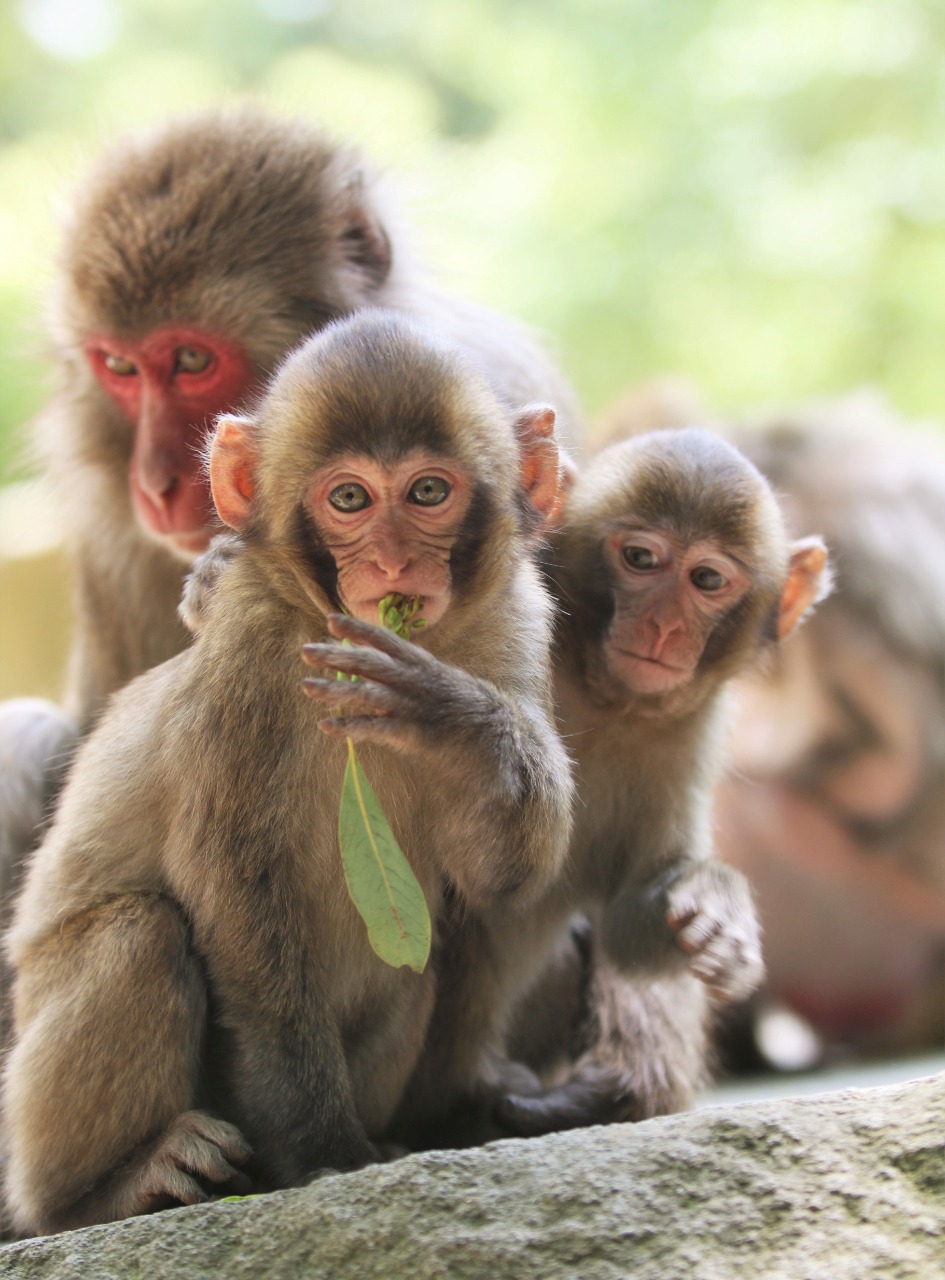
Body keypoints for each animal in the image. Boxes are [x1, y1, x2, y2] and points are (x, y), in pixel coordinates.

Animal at [1, 304, 565, 1233]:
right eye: (349, 499)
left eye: (428, 492)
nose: (393, 564)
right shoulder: (250, 649)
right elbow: (232, 879)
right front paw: (321, 1151)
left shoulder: (518, 618)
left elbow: (502, 874)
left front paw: (444, 714)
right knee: (140, 933)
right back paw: (109, 1190)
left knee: (419, 959)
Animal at [496, 430, 829, 1131]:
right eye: (641, 559)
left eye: (707, 579)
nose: (664, 627)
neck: (601, 690)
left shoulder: (688, 731)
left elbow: (634, 910)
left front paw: (715, 905)